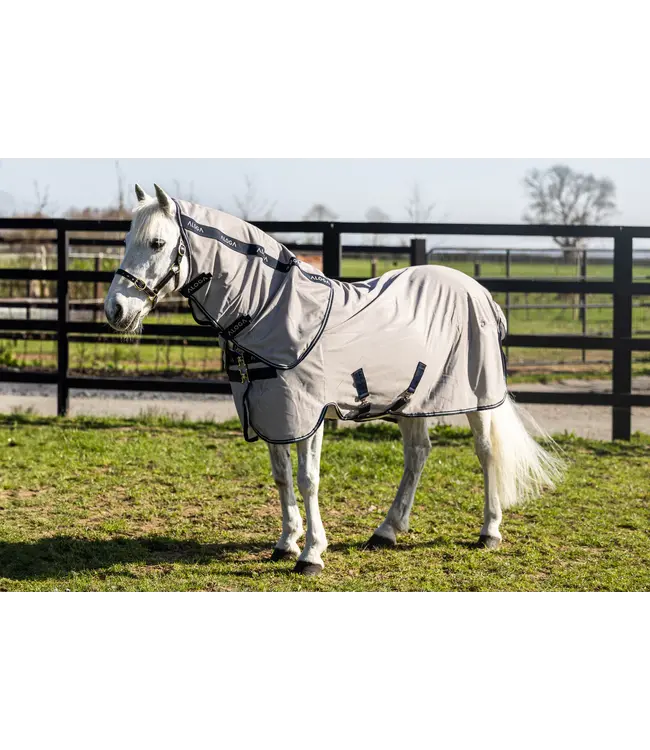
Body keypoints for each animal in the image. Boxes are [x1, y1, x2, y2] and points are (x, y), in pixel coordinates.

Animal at [104, 184, 566, 576]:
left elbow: (308, 480)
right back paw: (386, 532)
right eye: (125, 242)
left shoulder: (309, 416)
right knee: (418, 454)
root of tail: (480, 292)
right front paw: (286, 543)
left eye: (157, 243)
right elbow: (282, 476)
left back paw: (489, 532)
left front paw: (311, 554)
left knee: (486, 453)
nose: (115, 311)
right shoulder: (273, 412)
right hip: (412, 401)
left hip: (478, 397)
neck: (272, 312)